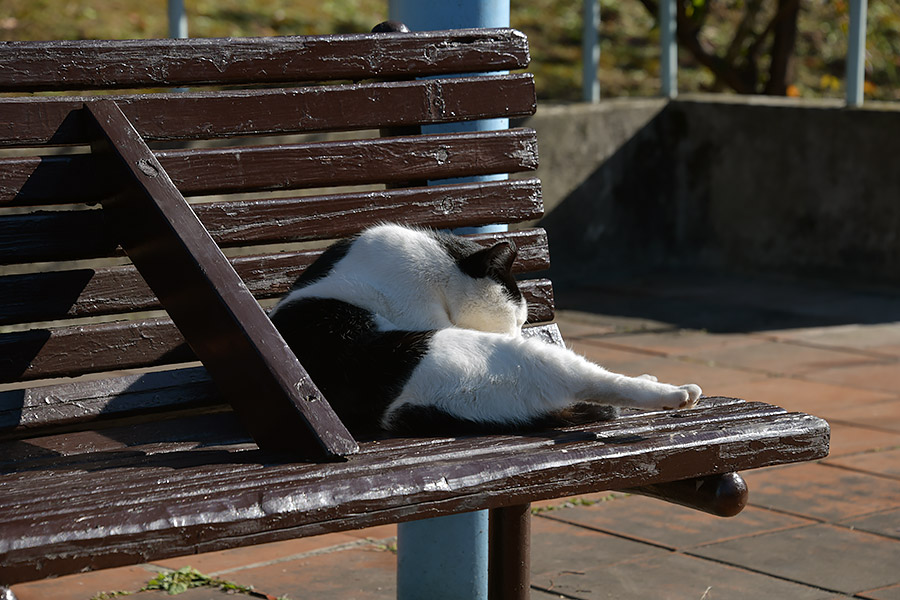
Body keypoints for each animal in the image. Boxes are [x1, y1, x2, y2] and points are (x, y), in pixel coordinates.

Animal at [268, 224, 704, 436]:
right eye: (518, 318)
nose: (517, 333)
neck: (438, 265)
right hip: (527, 361)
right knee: (598, 380)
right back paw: (675, 393)